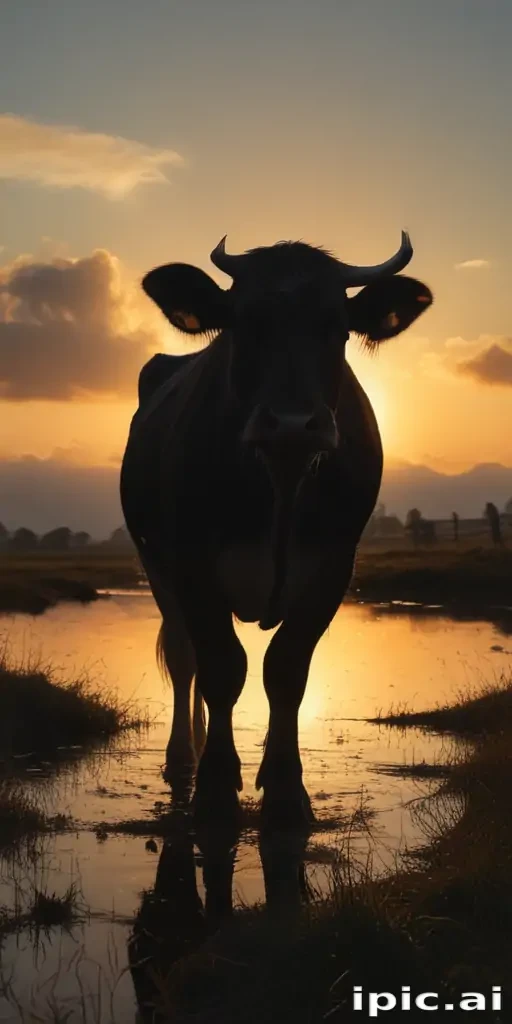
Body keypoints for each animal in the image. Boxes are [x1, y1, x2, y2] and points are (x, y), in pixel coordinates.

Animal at [120, 233, 433, 829]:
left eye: (337, 328)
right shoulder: (191, 564)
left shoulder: (335, 566)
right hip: (156, 568)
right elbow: (222, 668)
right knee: (185, 657)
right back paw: (184, 756)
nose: (292, 424)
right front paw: (216, 790)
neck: (280, 483)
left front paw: (286, 790)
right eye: (243, 323)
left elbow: (286, 671)